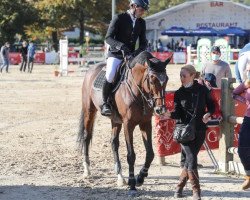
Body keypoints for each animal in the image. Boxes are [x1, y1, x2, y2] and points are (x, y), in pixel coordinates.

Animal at [78, 51, 172, 195]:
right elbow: (131, 155)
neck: (138, 91)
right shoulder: (129, 125)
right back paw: (87, 170)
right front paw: (132, 183)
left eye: (166, 79)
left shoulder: (145, 123)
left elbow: (150, 153)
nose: (160, 109)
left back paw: (120, 177)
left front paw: (141, 177)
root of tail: (91, 69)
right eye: (151, 79)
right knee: (86, 137)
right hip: (89, 111)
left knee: (114, 143)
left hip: (115, 120)